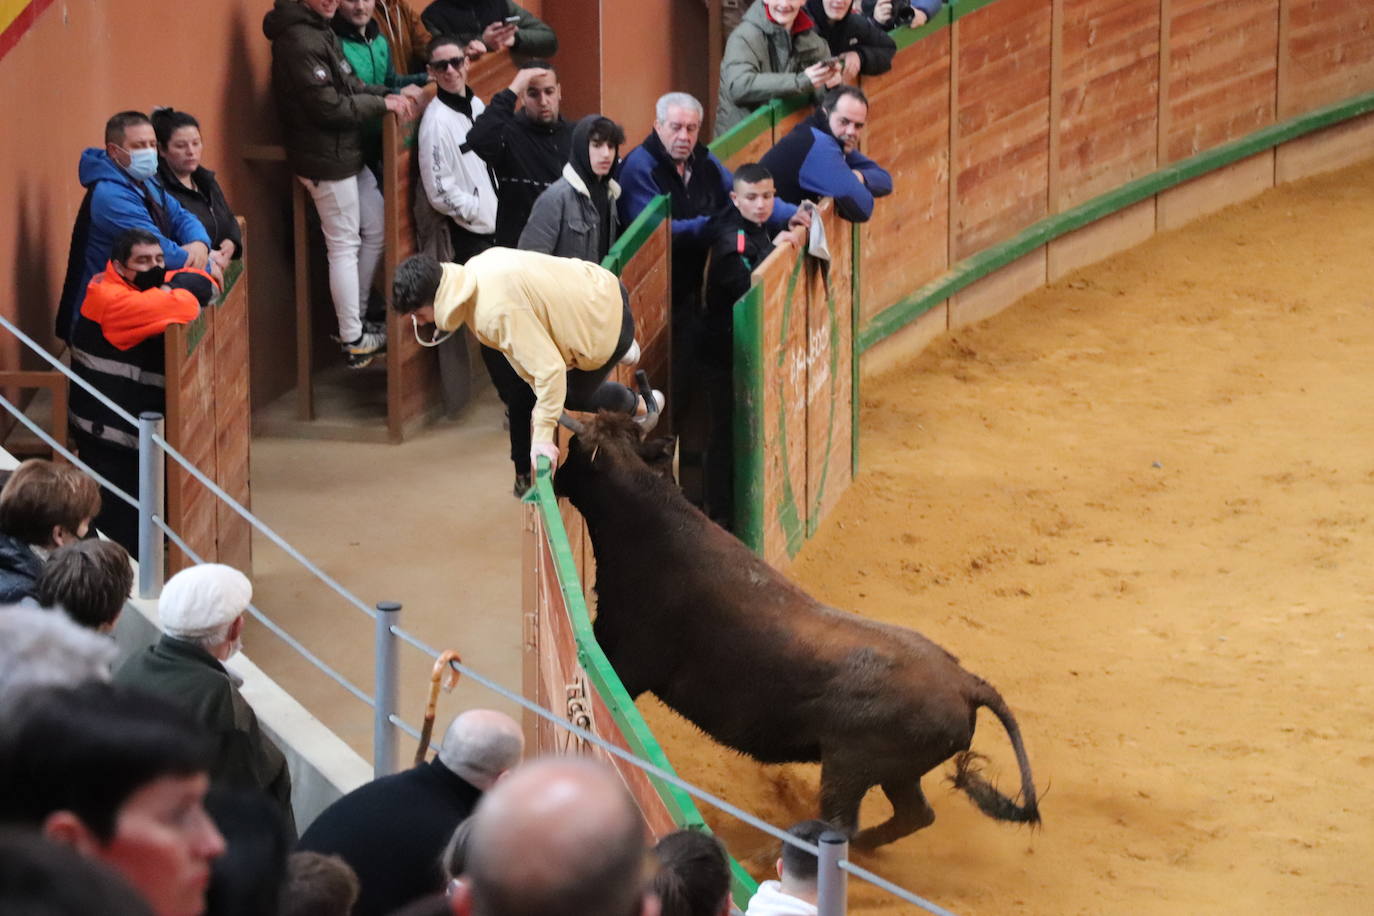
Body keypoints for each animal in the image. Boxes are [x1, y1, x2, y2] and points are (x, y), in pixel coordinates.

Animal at [552, 411, 1033, 851]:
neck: (652, 525)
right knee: (913, 815)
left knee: (841, 824)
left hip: (849, 765)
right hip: (895, 773)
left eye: (574, 447)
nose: (553, 477)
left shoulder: (626, 657)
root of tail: (966, 681)